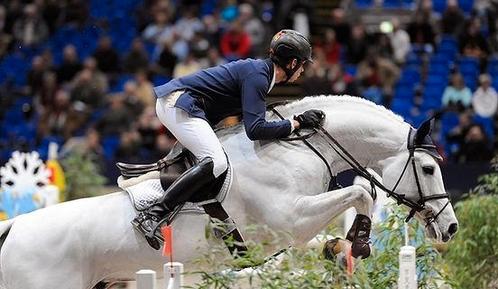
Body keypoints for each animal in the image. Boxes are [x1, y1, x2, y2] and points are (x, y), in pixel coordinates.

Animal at [0, 95, 460, 286]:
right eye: (428, 168)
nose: (451, 228)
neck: (300, 149)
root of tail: (12, 229)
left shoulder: (291, 230)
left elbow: (353, 202)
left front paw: (340, 247)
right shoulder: (292, 219)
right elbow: (363, 192)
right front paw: (359, 242)